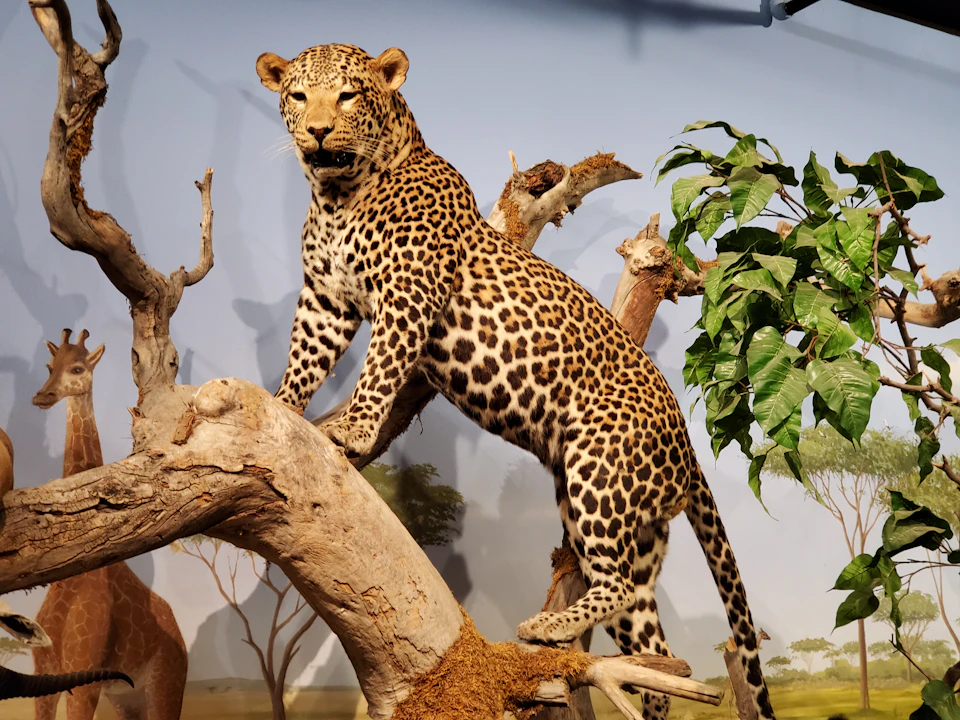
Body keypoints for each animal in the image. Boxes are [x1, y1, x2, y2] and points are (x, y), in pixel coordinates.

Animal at [256, 43, 775, 720]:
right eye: (298, 96)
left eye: (346, 96)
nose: (317, 131)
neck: (338, 193)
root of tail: (687, 449)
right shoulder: (326, 298)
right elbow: (303, 359)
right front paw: (283, 408)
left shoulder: (409, 291)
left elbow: (382, 363)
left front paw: (354, 428)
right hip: (633, 527)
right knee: (654, 644)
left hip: (596, 473)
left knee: (612, 584)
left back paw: (546, 626)